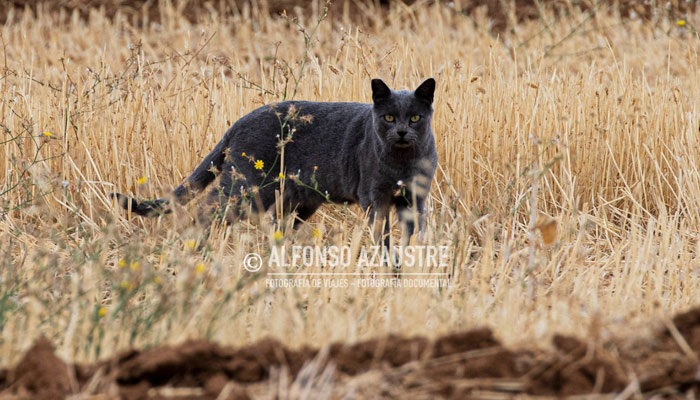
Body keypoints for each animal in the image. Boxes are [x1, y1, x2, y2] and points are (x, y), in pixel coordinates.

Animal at [111, 78, 434, 245]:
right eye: (388, 117)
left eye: (415, 118)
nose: (401, 131)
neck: (402, 160)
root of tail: (240, 121)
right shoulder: (374, 198)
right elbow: (383, 236)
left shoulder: (416, 198)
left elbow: (414, 232)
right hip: (246, 189)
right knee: (205, 212)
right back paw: (197, 248)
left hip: (295, 199)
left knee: (277, 225)